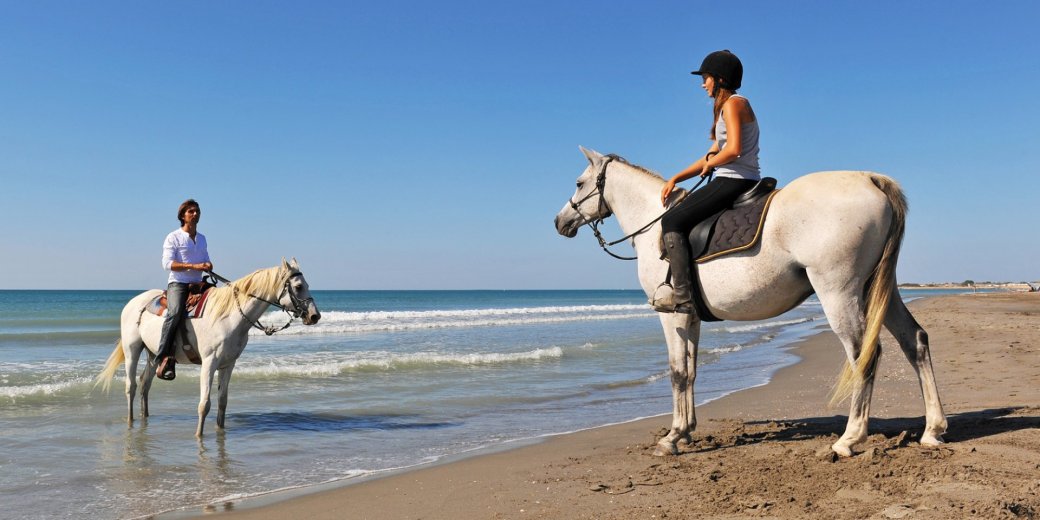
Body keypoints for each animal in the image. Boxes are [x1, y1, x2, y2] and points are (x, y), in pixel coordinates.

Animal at [95, 258, 321, 437]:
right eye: (298, 286)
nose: (314, 316)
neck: (230, 317)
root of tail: (132, 303)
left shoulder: (228, 365)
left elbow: (222, 402)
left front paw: (220, 432)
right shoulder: (209, 363)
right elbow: (204, 405)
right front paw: (198, 437)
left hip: (153, 354)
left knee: (144, 384)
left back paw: (145, 418)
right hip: (132, 349)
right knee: (131, 386)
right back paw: (131, 420)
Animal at [554, 147, 946, 457]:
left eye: (578, 183)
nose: (560, 222)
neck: (654, 225)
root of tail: (870, 179)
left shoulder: (671, 315)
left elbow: (677, 372)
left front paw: (672, 438)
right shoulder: (690, 315)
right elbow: (692, 371)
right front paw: (687, 431)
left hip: (840, 292)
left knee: (864, 354)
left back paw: (849, 439)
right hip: (879, 289)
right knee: (915, 341)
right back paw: (933, 429)